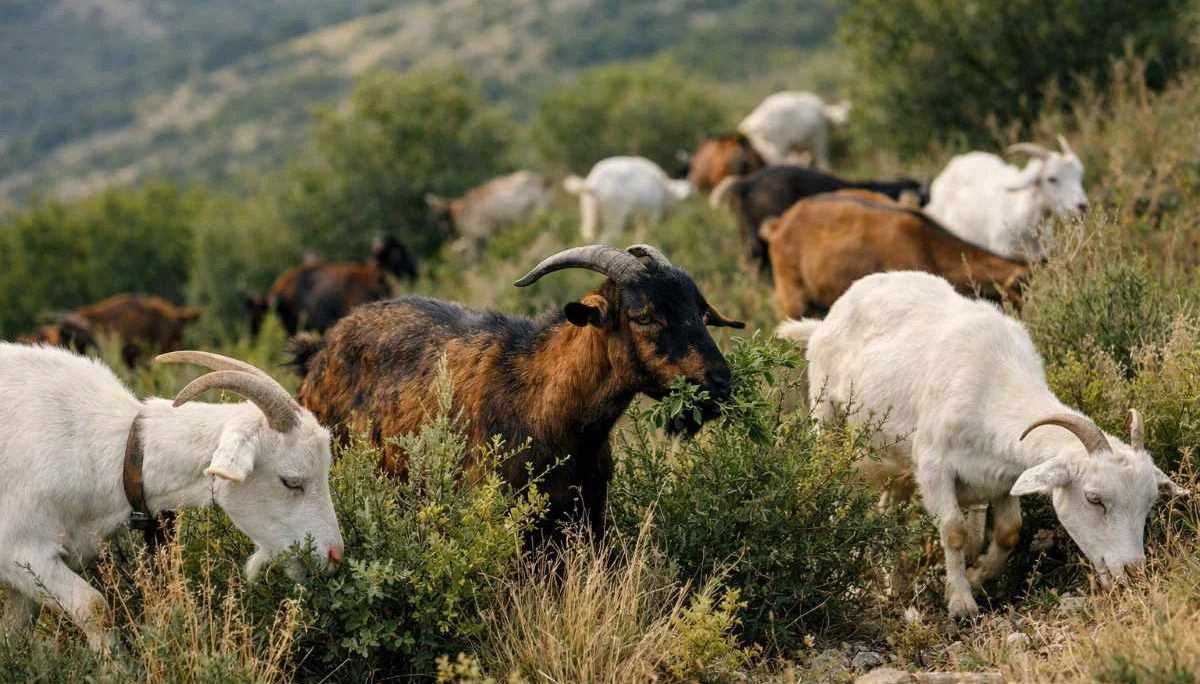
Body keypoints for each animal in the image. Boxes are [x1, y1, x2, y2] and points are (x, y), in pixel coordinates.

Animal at [563, 157, 693, 243]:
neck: (665, 190)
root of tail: (593, 183)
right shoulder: (652, 214)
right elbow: (645, 233)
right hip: (614, 217)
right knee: (607, 237)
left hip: (589, 214)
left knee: (588, 235)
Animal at [777, 272, 1185, 618]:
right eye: (1094, 499)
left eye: (1150, 503)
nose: (1133, 573)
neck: (993, 384)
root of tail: (826, 321)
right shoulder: (933, 466)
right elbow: (954, 532)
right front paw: (961, 603)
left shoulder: (1002, 477)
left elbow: (1010, 532)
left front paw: (977, 577)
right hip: (827, 422)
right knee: (835, 492)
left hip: (893, 459)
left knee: (888, 513)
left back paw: (895, 585)